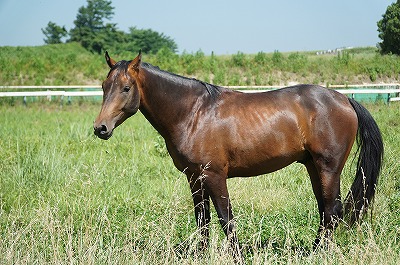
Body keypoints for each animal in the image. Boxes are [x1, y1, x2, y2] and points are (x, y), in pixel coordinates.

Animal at [94, 50, 384, 256]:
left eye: (126, 88)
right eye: (104, 87)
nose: (100, 128)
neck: (193, 113)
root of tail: (345, 99)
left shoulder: (214, 176)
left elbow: (226, 219)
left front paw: (237, 255)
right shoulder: (194, 178)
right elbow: (203, 220)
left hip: (328, 168)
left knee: (332, 210)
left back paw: (319, 253)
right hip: (313, 167)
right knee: (325, 210)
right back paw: (313, 250)